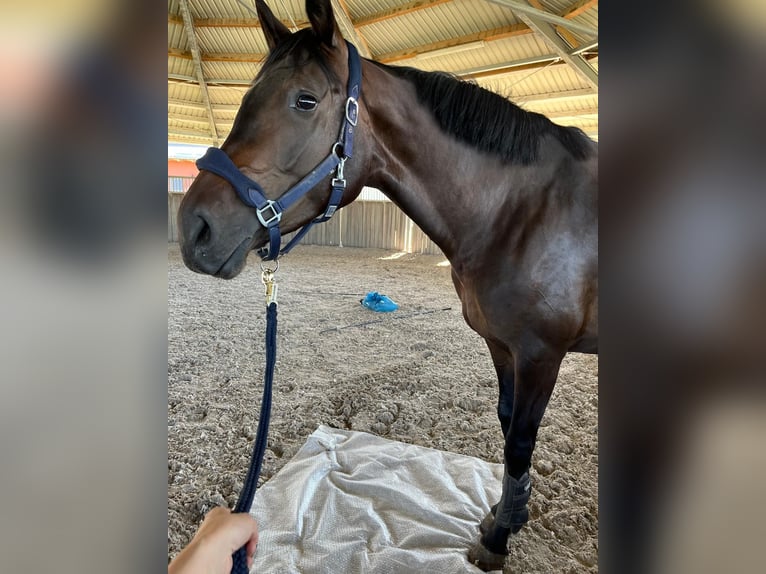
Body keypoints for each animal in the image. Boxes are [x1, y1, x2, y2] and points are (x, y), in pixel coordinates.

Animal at [178, 0, 600, 568]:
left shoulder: (540, 353)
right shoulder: (503, 345)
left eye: (305, 100)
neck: (524, 211)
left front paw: (495, 542)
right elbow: (507, 423)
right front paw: (504, 516)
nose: (194, 227)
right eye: (245, 98)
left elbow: (519, 443)